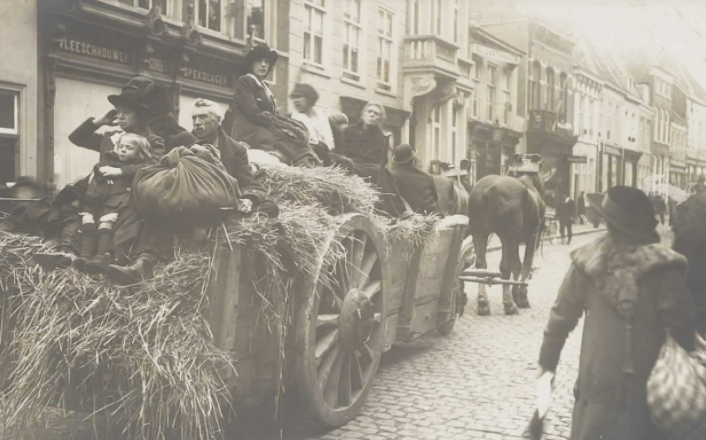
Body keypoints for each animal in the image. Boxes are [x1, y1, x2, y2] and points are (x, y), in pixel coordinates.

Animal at [468, 153, 544, 314]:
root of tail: (490, 189)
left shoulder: (515, 240)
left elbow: (517, 265)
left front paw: (516, 293)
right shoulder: (531, 237)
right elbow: (525, 265)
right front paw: (521, 296)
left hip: (479, 233)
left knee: (481, 264)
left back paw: (483, 302)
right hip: (508, 236)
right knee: (504, 266)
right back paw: (508, 304)